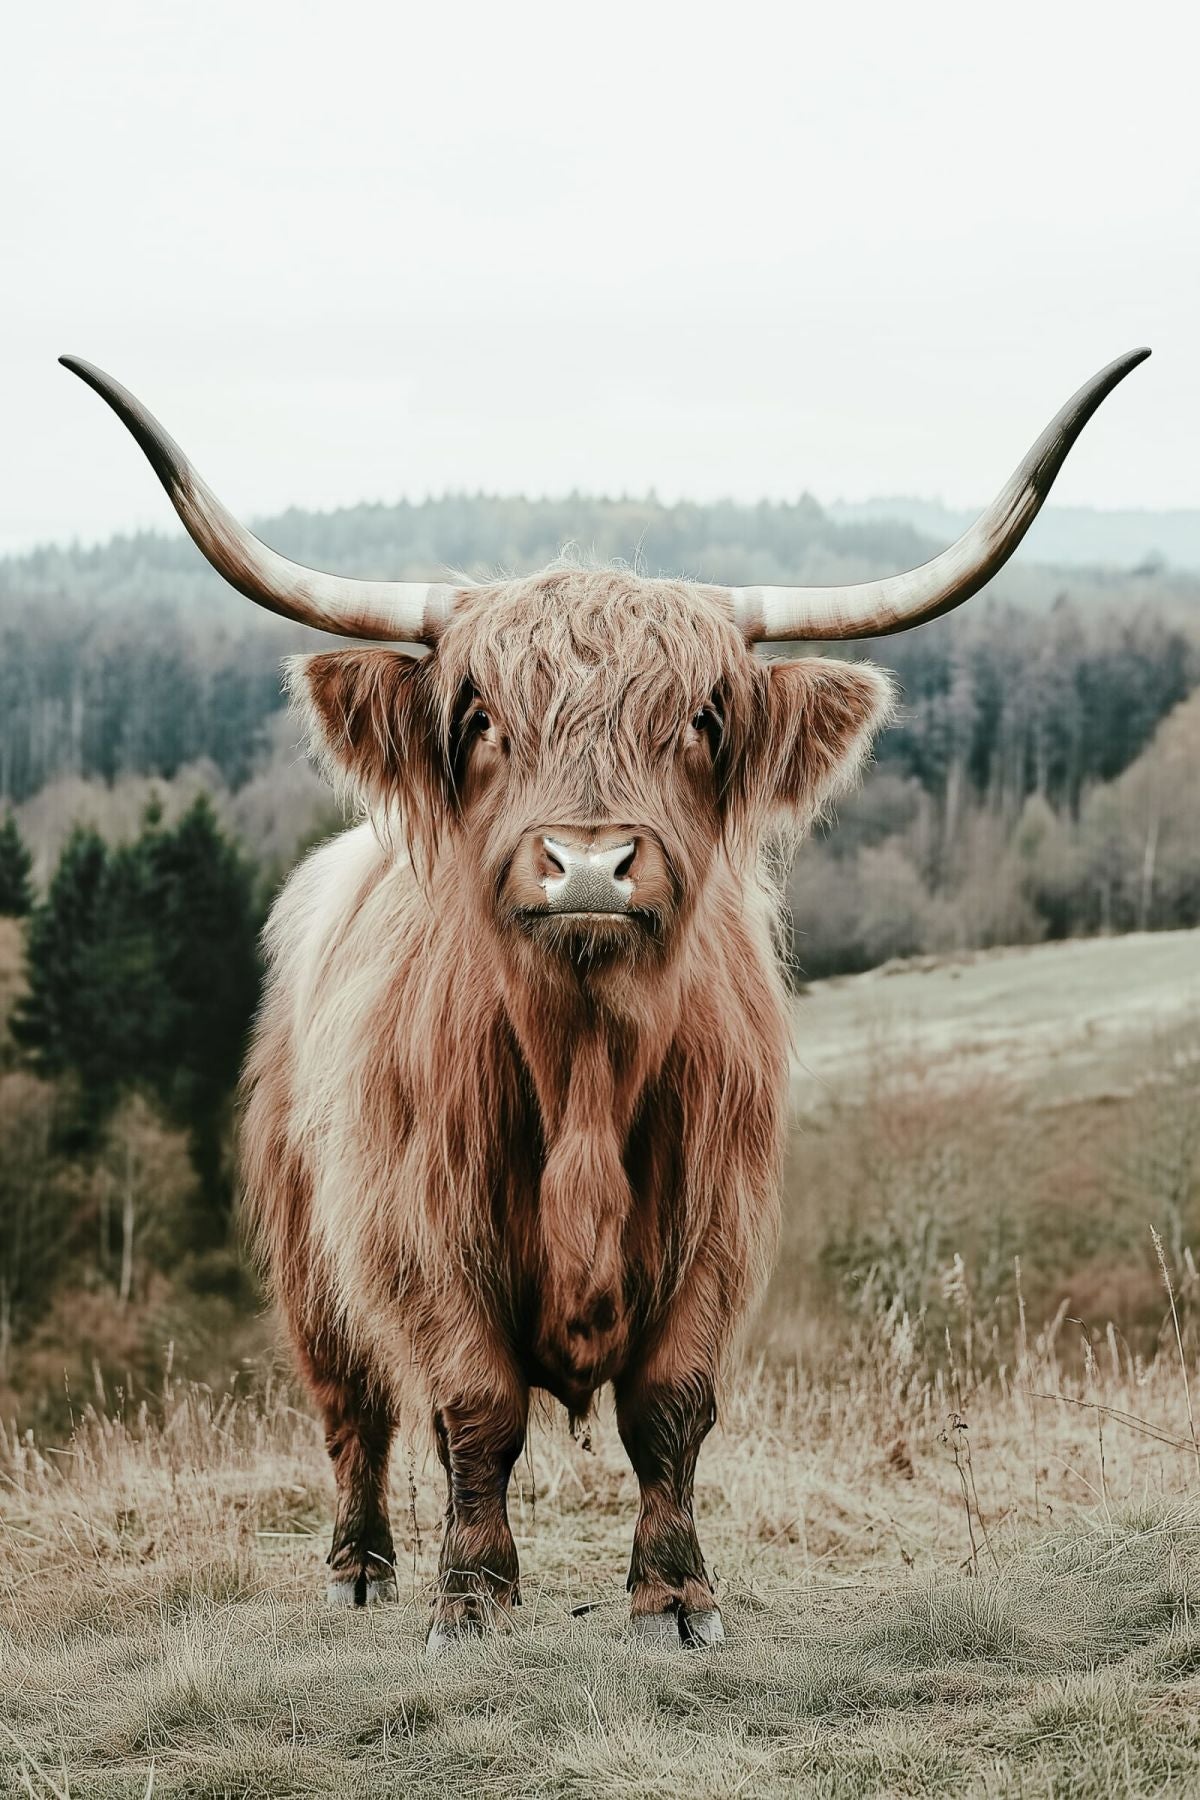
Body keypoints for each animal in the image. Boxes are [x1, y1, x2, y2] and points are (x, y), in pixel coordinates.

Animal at [62, 348, 1148, 1651]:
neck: (582, 1065)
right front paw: (469, 1598)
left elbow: (669, 1409)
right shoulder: (425, 1225)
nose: (588, 863)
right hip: (307, 1247)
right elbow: (474, 1404)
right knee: (353, 1411)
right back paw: (362, 1568)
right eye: (481, 718)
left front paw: (676, 1596)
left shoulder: (715, 1222)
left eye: (702, 717)